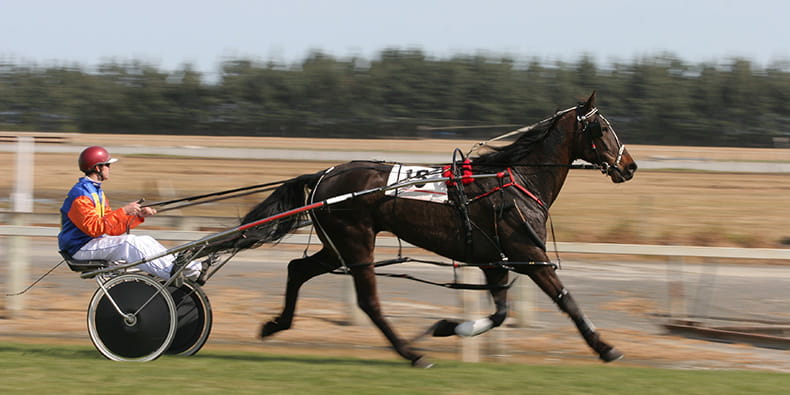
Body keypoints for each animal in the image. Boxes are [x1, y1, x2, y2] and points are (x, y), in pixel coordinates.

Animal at [209, 92, 636, 368]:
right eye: (600, 128)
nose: (629, 166)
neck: (513, 181)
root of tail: (326, 175)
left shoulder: (495, 260)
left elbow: (500, 312)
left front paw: (449, 327)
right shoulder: (528, 254)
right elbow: (566, 300)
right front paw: (605, 347)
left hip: (336, 245)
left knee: (297, 269)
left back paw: (275, 324)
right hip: (355, 241)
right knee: (369, 302)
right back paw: (411, 354)